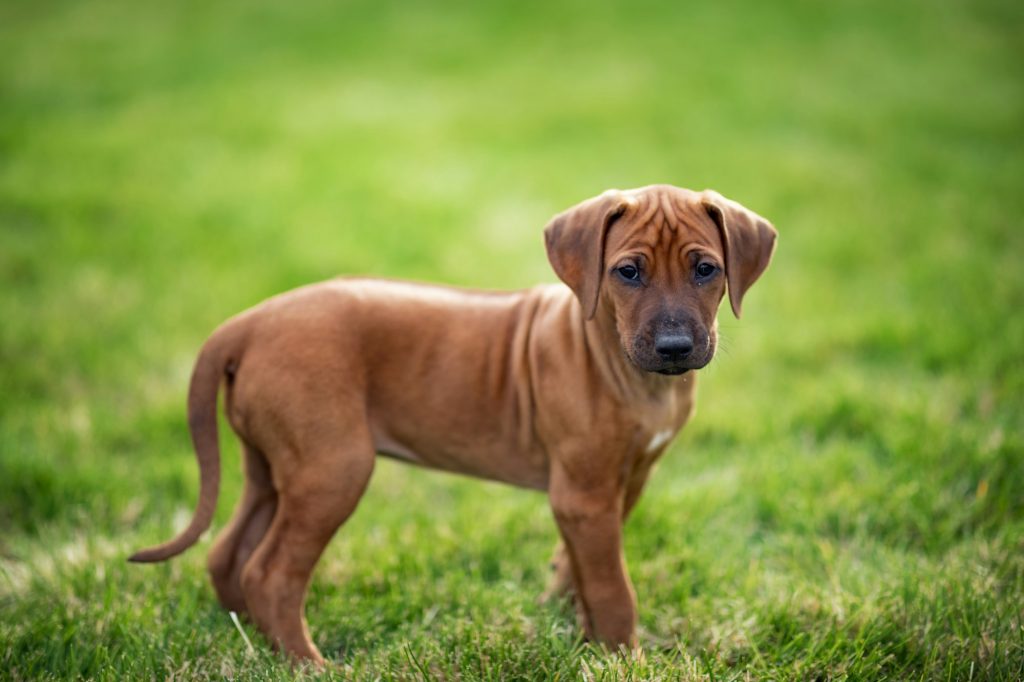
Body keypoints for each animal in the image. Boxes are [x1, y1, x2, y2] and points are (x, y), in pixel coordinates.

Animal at [132, 183, 778, 659]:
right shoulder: (584, 493)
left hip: (270, 464)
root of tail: (247, 322)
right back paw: (305, 662)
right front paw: (624, 656)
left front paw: (578, 634)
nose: (674, 347)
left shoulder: (623, 484)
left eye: (705, 270)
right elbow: (613, 587)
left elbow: (578, 568)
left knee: (228, 554)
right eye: (627, 272)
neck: (623, 365)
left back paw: (245, 638)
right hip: (332, 469)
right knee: (269, 572)